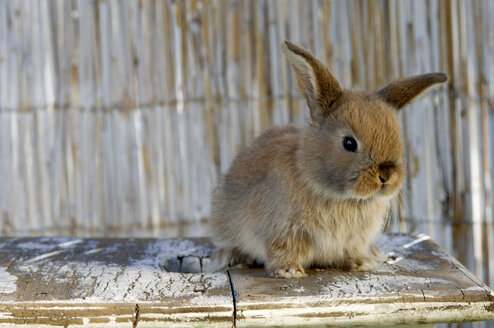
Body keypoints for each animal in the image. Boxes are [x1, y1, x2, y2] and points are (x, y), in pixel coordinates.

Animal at [208, 39, 448, 278]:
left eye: (398, 139)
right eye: (349, 143)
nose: (386, 175)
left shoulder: (353, 240)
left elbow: (351, 252)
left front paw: (362, 263)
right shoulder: (281, 233)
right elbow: (281, 251)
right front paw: (289, 271)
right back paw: (232, 258)